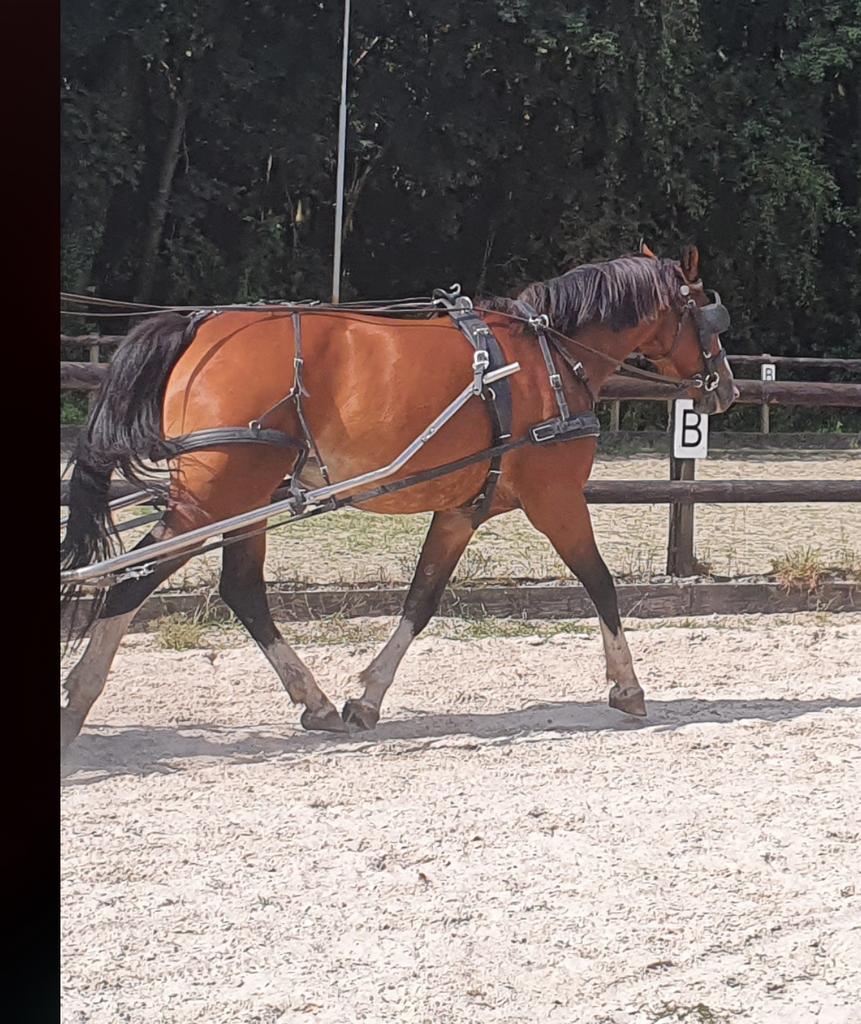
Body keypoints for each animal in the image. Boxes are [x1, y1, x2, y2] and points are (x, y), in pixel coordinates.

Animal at [60, 244, 737, 749]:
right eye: (706, 311)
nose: (725, 386)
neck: (548, 357)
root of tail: (201, 326)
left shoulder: (462, 510)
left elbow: (422, 598)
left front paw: (366, 698)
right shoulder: (557, 500)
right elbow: (601, 584)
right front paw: (627, 686)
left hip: (244, 497)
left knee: (241, 591)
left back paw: (316, 703)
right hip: (214, 498)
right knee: (130, 583)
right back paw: (78, 700)